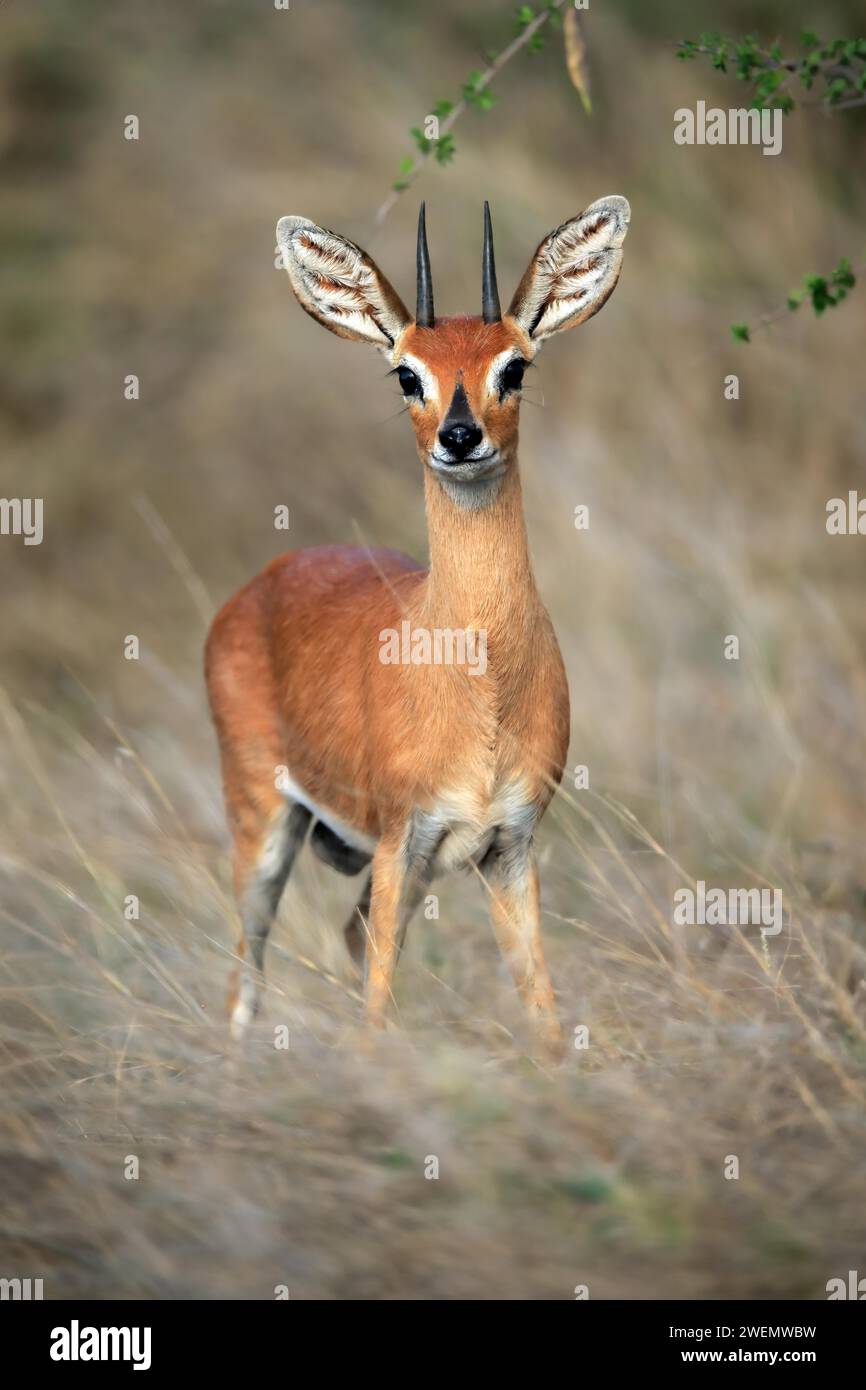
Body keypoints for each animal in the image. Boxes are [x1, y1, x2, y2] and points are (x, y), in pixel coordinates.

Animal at [205, 195, 630, 1056]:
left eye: (514, 366)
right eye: (408, 372)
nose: (459, 437)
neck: (483, 689)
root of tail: (256, 586)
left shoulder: (510, 847)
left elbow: (543, 1010)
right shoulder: (407, 838)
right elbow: (376, 1012)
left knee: (340, 935)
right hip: (264, 823)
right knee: (246, 974)